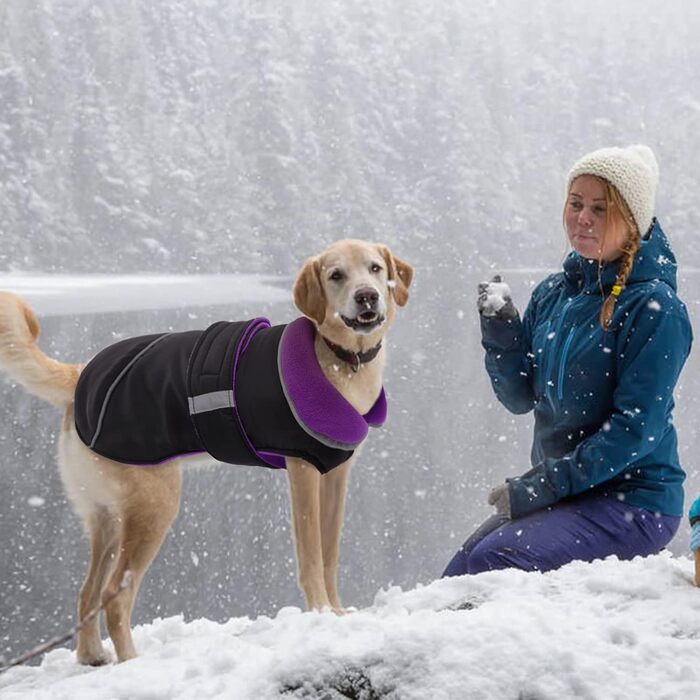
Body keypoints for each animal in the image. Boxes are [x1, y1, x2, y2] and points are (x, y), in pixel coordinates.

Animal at [0, 242, 412, 668]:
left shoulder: (335, 476)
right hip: (154, 508)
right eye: (336, 275)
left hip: (107, 518)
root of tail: (81, 376)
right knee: (115, 597)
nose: (367, 296)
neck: (338, 359)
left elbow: (330, 554)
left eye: (375, 269)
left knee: (87, 593)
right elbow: (311, 555)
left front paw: (336, 612)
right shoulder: (302, 470)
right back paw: (131, 659)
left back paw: (92, 654)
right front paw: (319, 613)